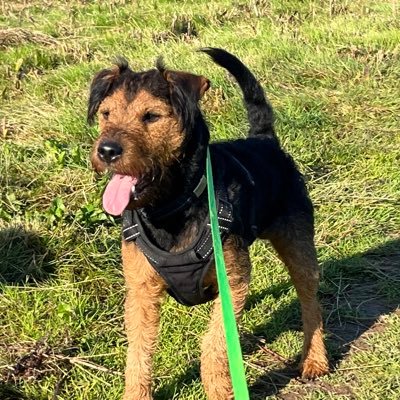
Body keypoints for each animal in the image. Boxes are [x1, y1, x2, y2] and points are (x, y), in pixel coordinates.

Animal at [87, 48, 328, 398]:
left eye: (151, 116)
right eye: (106, 113)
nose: (106, 150)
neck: (173, 207)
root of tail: (265, 140)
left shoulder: (234, 282)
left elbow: (214, 345)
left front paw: (219, 389)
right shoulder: (141, 291)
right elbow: (138, 354)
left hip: (298, 246)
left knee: (310, 302)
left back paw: (314, 359)